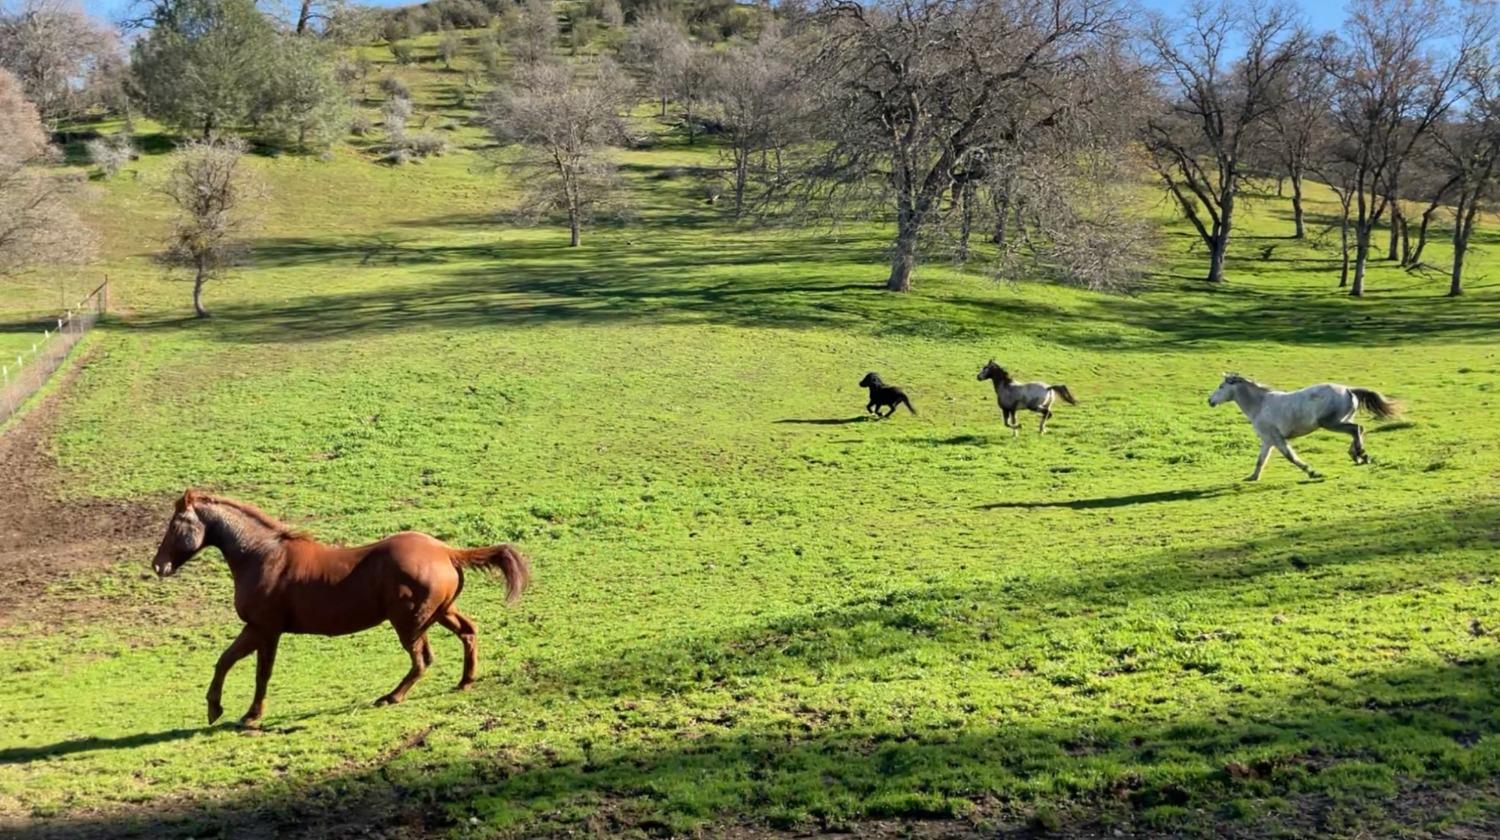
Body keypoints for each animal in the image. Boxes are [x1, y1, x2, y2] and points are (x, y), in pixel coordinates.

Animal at [152, 489, 528, 726]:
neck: (262, 556)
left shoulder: (266, 629)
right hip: (440, 613)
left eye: (175, 524)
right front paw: (215, 709)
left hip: (410, 621)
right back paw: (465, 682)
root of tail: (447, 552)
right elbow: (225, 660)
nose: (158, 566)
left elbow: (260, 673)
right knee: (467, 633)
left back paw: (391, 697)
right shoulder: (257, 629)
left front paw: (250, 716)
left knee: (422, 659)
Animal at [1200, 372, 1398, 483]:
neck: (1260, 405)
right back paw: (1357, 455)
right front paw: (1252, 477)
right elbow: (1260, 460)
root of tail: (1348, 390)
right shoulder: (1267, 440)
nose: (1209, 401)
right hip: (1341, 420)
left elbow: (1290, 456)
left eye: (1221, 386)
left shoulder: (1276, 438)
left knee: (1356, 429)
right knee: (1359, 429)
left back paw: (1361, 455)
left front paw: (1312, 472)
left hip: (1330, 423)